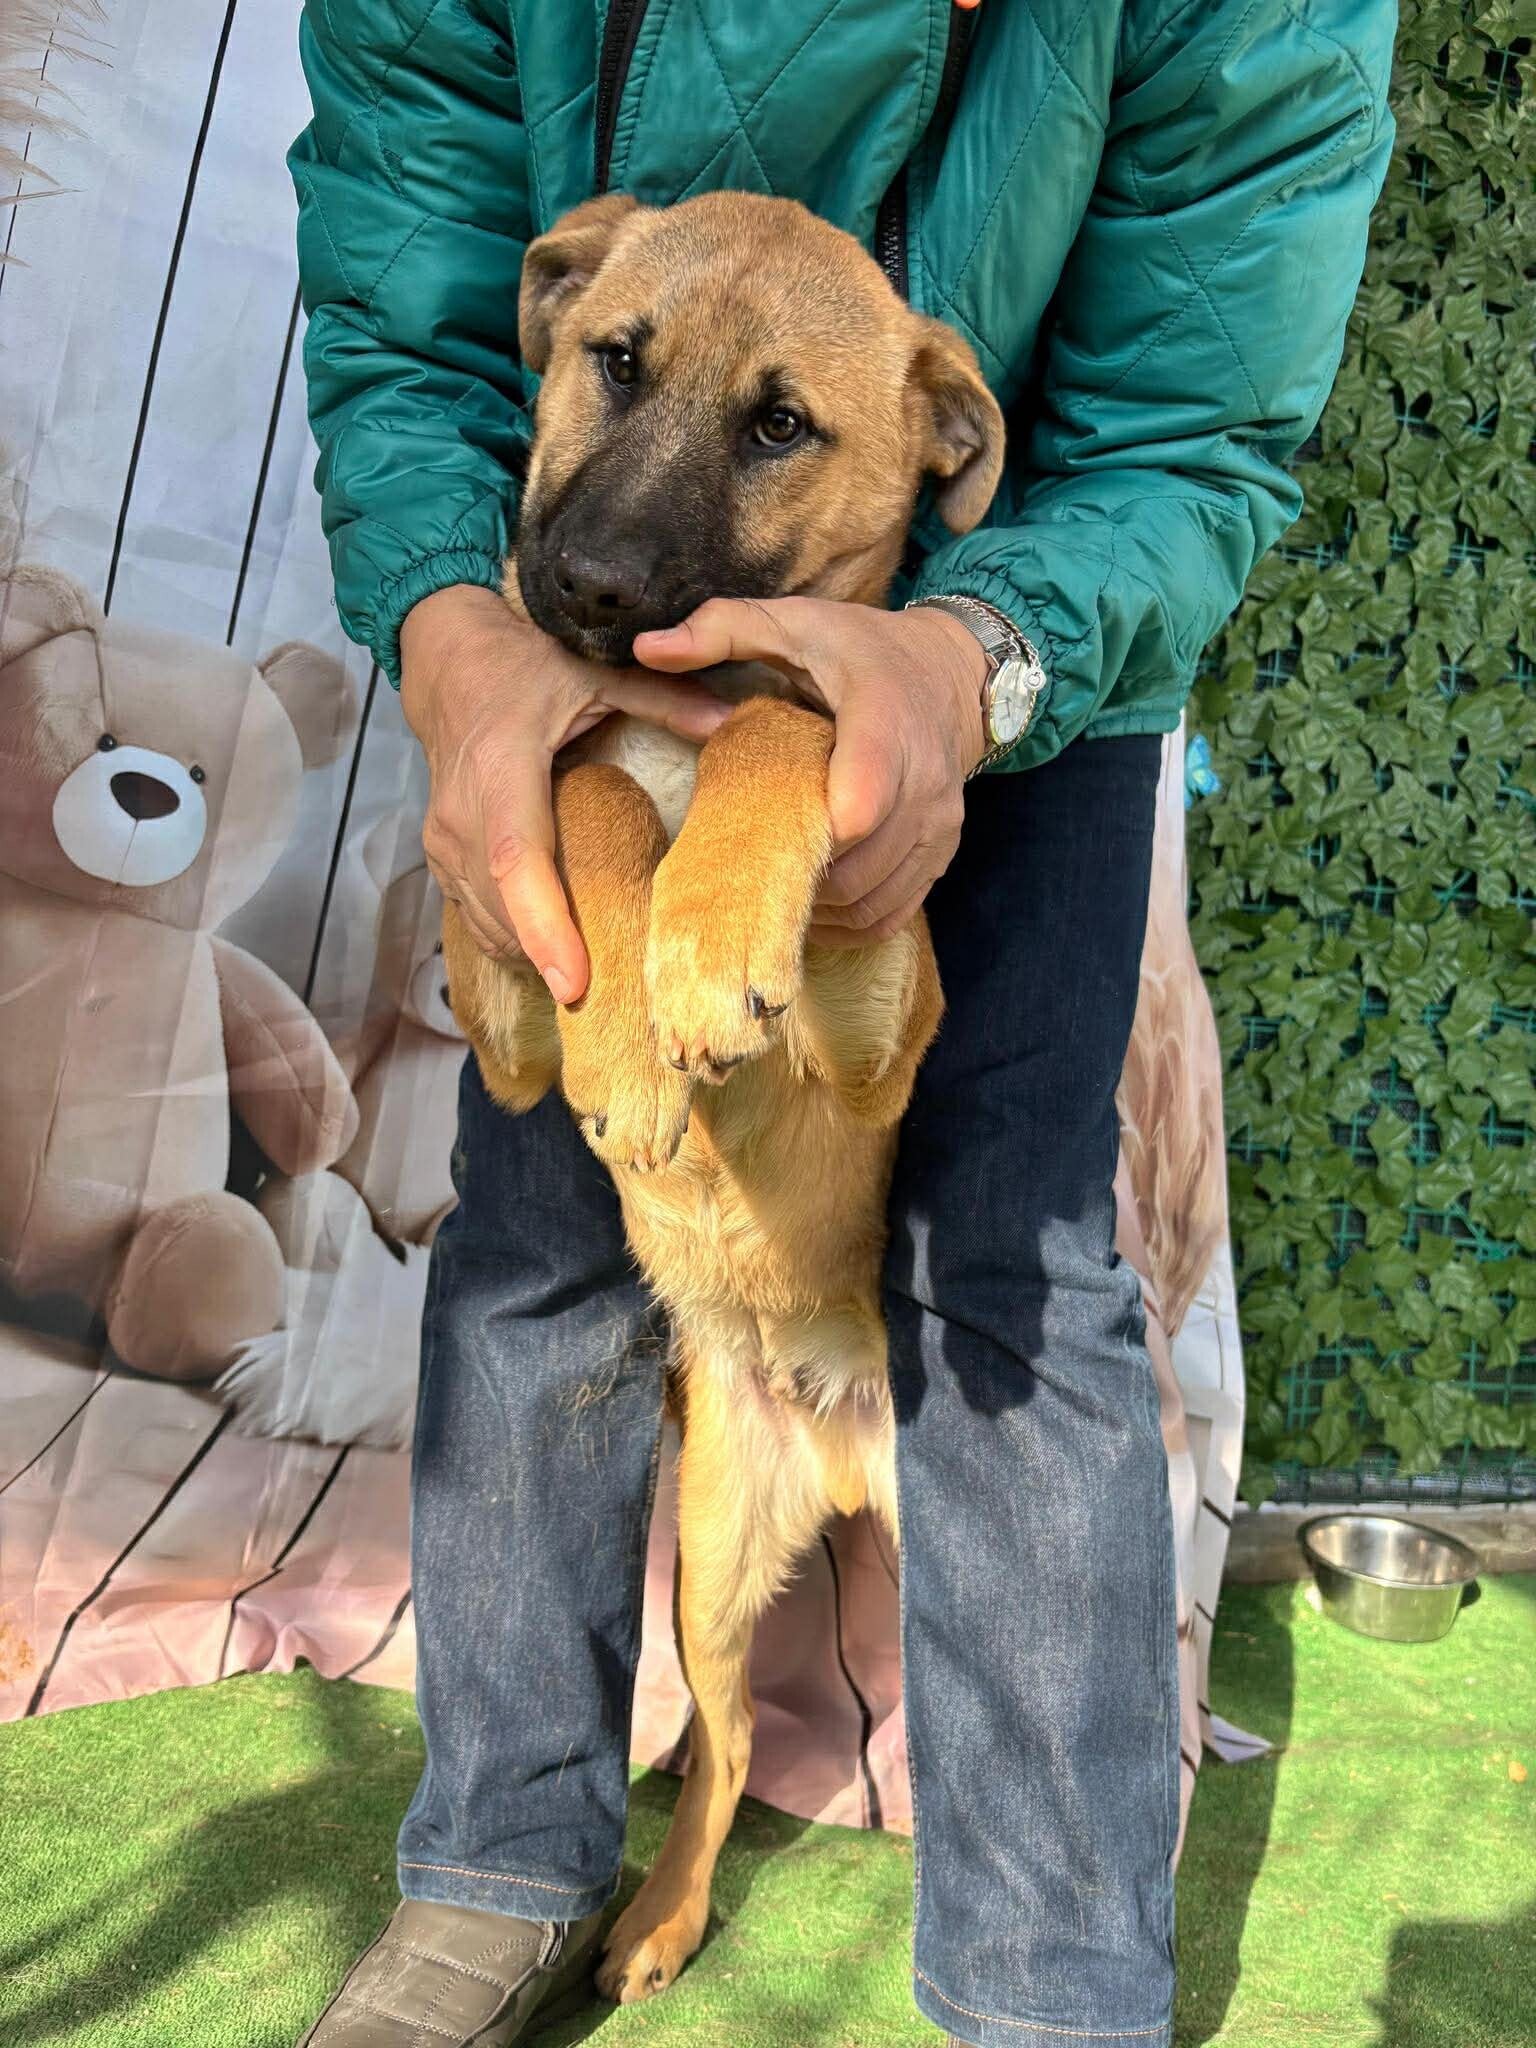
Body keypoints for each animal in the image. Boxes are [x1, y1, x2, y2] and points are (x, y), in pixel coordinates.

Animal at [442, 190, 1005, 2005]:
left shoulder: (875, 1016)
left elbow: (794, 711)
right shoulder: (499, 993)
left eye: (780, 427)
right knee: (735, 1743)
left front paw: (702, 943)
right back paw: (661, 1923)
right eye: (616, 362)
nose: (585, 584)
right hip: (703, 1555)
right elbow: (583, 778)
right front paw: (635, 1030)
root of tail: (836, 1436)